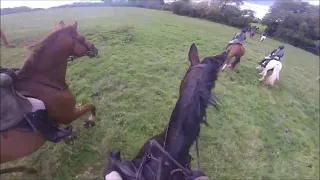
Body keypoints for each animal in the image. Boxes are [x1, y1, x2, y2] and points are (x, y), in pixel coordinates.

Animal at [0, 21, 97, 170]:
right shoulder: (69, 114)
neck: (44, 83)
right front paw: (90, 121)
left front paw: (69, 137)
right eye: (81, 38)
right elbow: (91, 106)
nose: (95, 49)